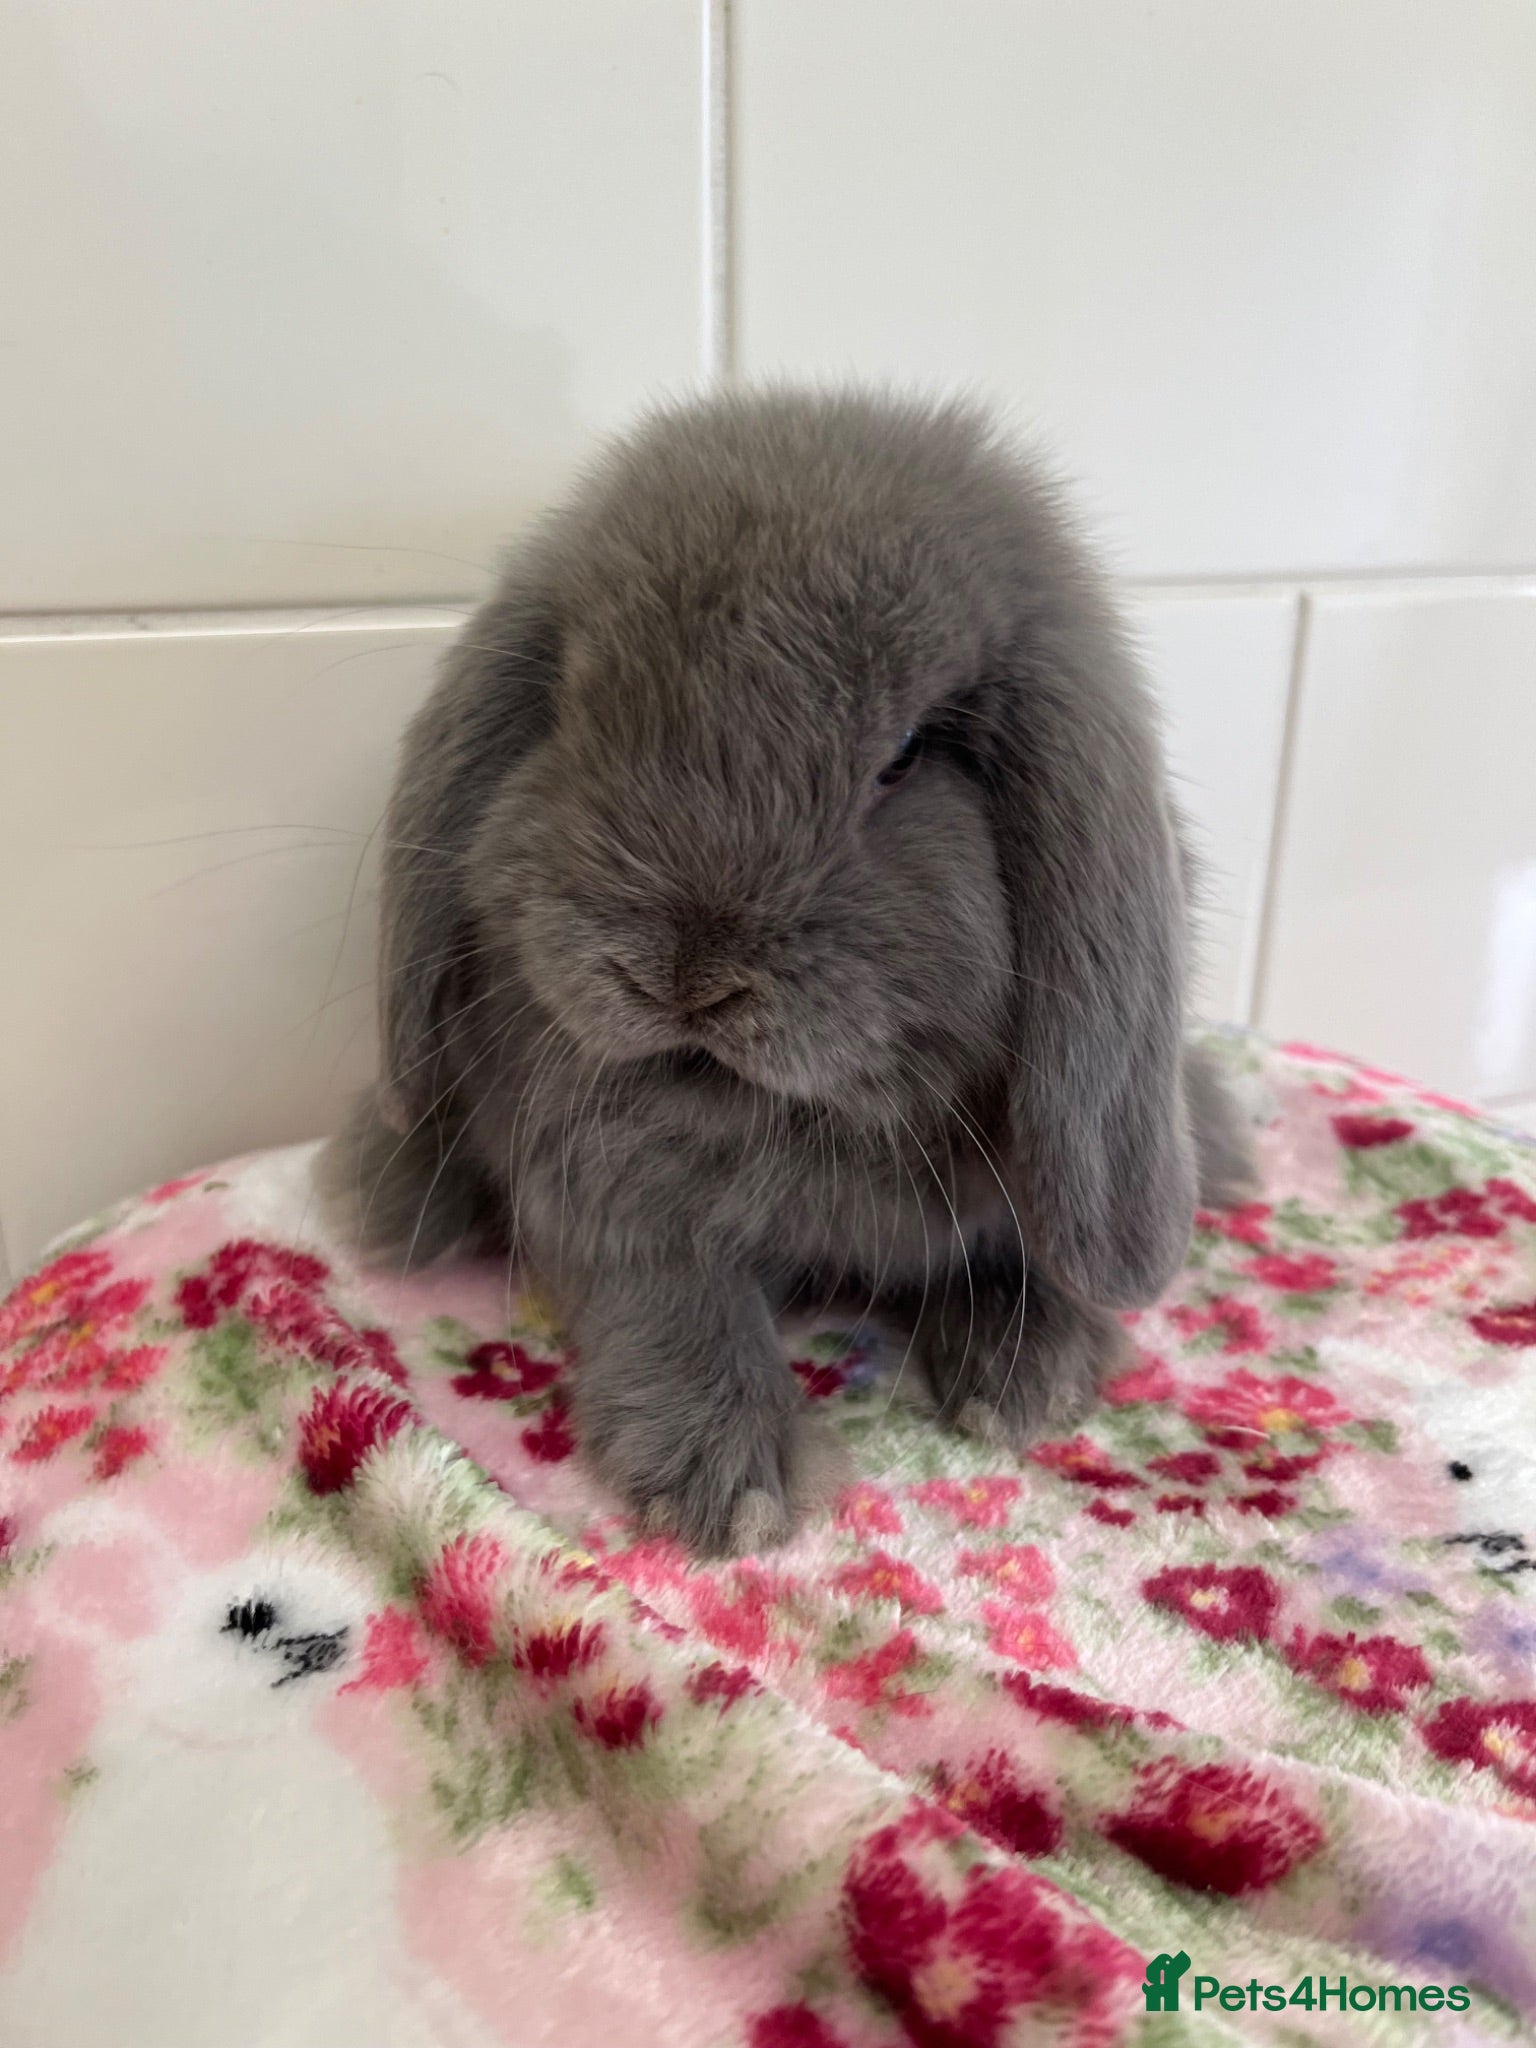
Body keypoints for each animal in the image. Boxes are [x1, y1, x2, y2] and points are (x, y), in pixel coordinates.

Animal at [322, 388, 1257, 1554]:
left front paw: (1025, 1377)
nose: (684, 976)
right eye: (576, 708)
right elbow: (672, 1297)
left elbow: (1024, 1246)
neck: (788, 1124)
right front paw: (728, 1482)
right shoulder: (604, 1196)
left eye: (905, 754)